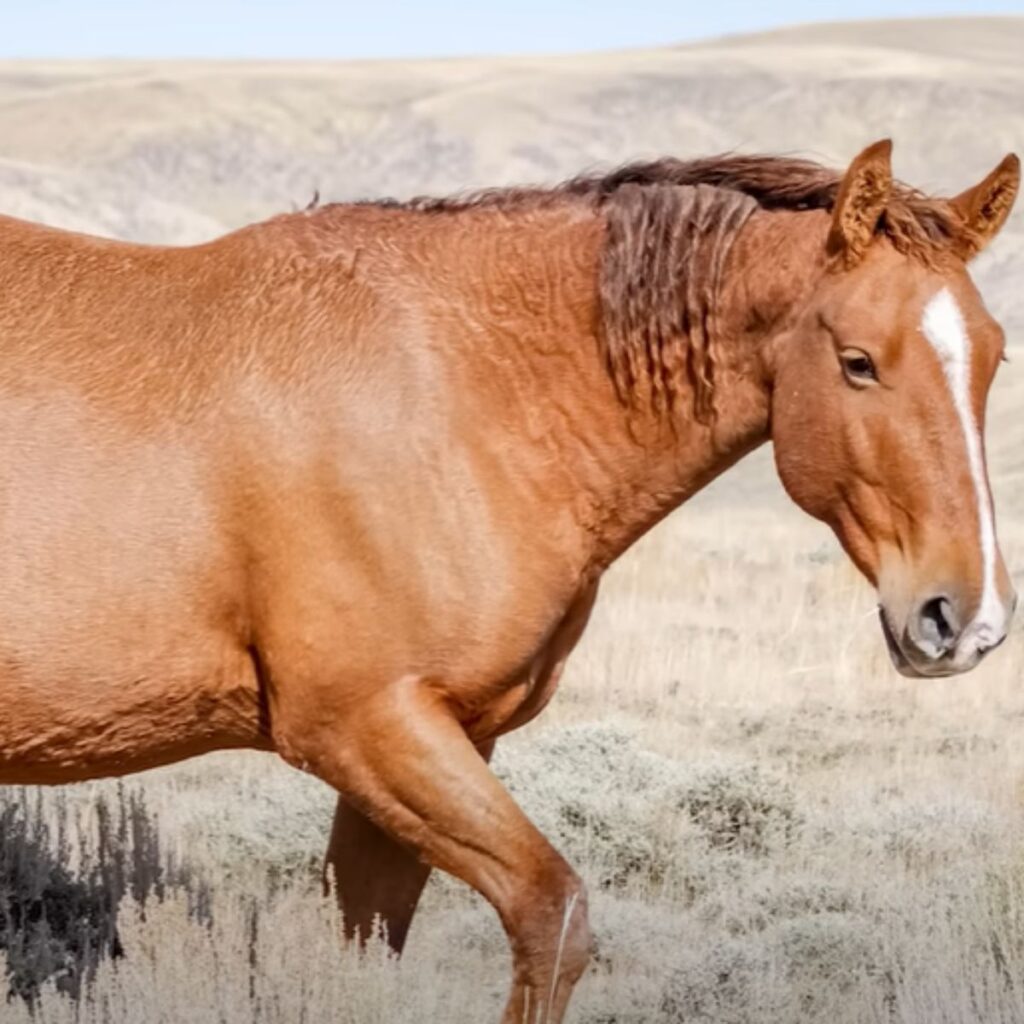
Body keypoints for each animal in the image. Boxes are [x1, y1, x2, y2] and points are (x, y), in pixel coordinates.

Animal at [0, 138, 1017, 1022]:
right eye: (858, 361)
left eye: (994, 354)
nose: (964, 618)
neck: (460, 391)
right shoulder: (366, 728)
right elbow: (550, 915)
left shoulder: (431, 747)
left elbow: (367, 949)